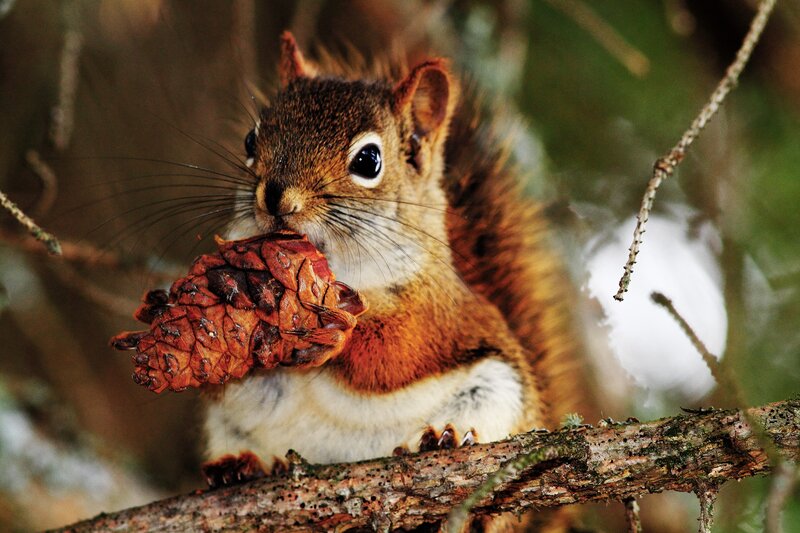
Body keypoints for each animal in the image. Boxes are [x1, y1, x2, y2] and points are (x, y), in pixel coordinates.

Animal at [202, 31, 580, 527]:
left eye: (368, 160)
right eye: (251, 139)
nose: (276, 196)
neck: (341, 271)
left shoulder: (433, 311)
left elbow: (394, 353)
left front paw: (340, 332)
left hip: (500, 394)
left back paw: (444, 438)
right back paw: (242, 465)